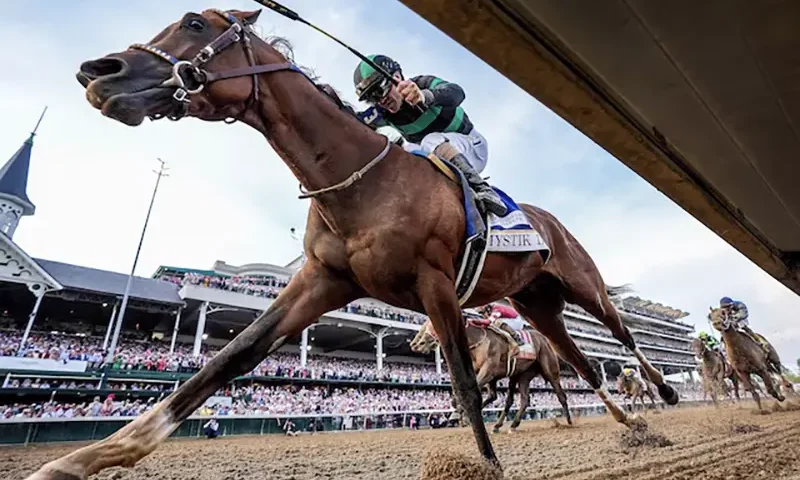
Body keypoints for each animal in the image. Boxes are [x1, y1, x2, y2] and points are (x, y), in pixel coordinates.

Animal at [412, 318, 568, 432]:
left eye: (433, 325)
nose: (417, 344)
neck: (477, 341)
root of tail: (544, 339)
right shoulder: (488, 375)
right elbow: (489, 396)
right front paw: (463, 415)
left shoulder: (488, 371)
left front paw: (459, 414)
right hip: (523, 375)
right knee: (523, 400)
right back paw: (507, 425)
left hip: (550, 371)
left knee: (561, 395)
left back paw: (568, 421)